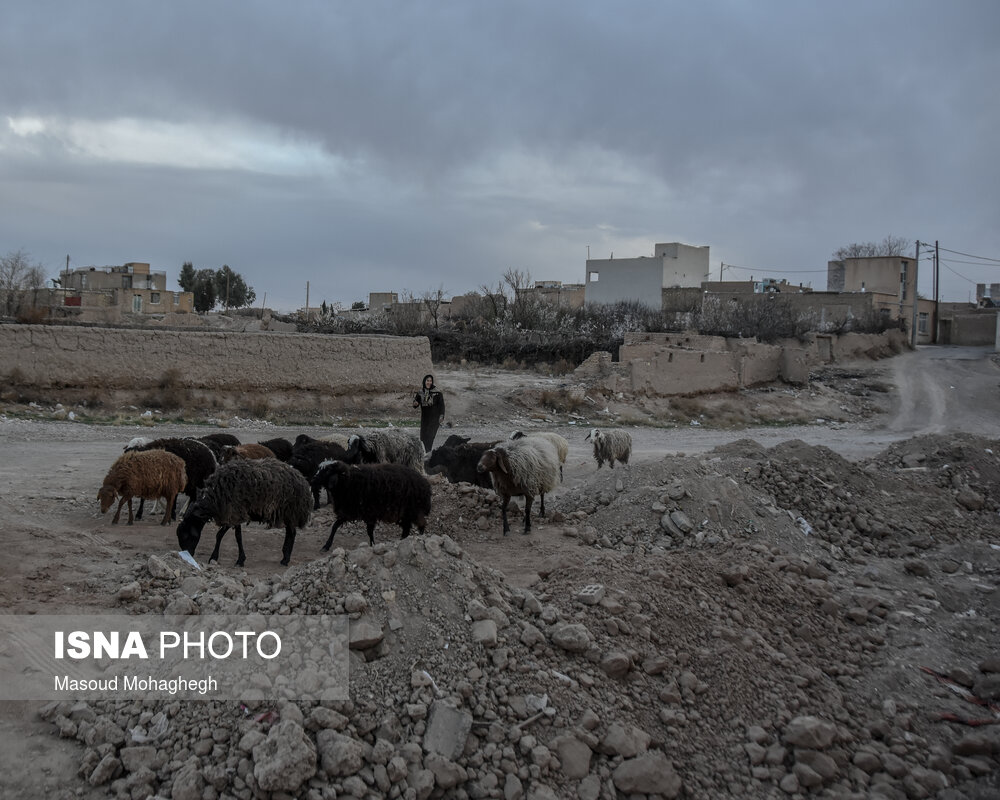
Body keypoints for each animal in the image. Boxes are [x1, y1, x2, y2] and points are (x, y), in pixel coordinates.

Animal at [174, 460, 310, 564]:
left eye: (186, 534)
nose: (188, 554)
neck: (214, 499)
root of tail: (302, 478)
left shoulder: (233, 513)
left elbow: (222, 535)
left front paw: (217, 557)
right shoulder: (235, 515)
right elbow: (236, 536)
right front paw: (240, 559)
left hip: (291, 510)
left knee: (292, 533)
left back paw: (285, 560)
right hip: (287, 512)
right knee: (290, 533)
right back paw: (284, 556)